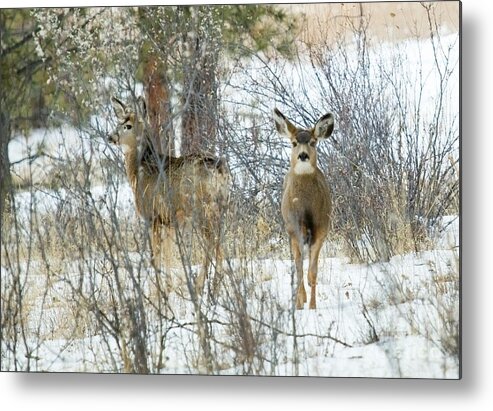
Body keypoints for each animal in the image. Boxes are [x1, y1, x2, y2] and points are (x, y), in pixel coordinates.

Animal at [108, 96, 228, 296]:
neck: (139, 173)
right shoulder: (171, 221)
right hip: (223, 207)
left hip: (201, 208)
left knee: (211, 242)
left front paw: (156, 292)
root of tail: (219, 169)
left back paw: (201, 286)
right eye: (117, 122)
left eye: (128, 126)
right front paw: (168, 287)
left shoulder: (154, 215)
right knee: (221, 240)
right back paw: (217, 287)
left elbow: (156, 256)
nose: (110, 137)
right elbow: (169, 254)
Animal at [270, 108, 332, 308]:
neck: (305, 207)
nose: (303, 155)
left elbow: (312, 271)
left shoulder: (321, 228)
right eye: (294, 143)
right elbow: (298, 269)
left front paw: (313, 306)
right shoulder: (294, 228)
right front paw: (299, 305)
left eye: (313, 142)